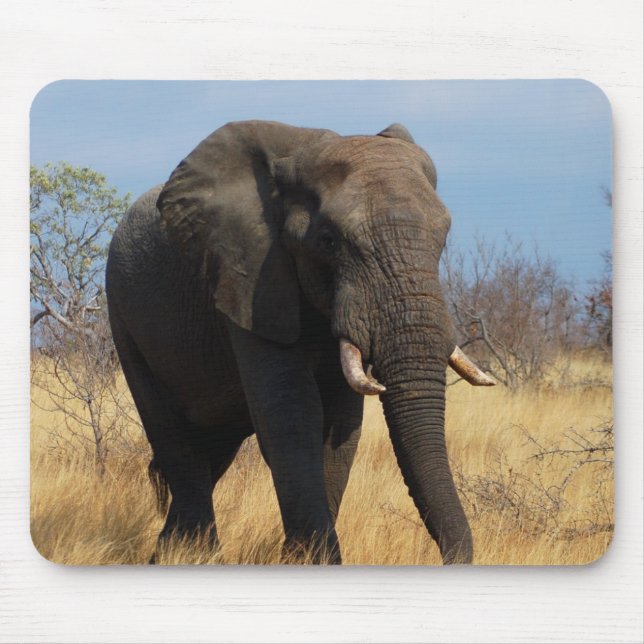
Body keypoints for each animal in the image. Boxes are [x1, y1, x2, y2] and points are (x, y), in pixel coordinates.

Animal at [106, 120, 494, 565]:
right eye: (328, 241)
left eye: (442, 238)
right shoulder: (250, 277)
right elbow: (291, 414)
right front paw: (315, 561)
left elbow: (341, 425)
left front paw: (300, 560)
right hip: (122, 313)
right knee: (174, 438)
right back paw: (195, 555)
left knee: (213, 447)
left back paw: (170, 554)